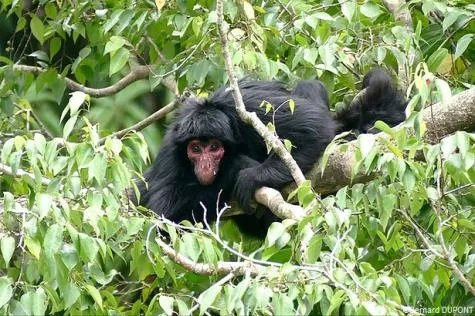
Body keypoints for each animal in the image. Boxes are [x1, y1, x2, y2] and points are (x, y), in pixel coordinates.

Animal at [135, 68, 410, 231]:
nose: (205, 165)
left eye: (214, 148)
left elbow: (314, 126)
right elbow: (162, 212)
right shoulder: (172, 147)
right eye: (195, 149)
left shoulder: (249, 107)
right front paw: (234, 169)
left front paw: (247, 174)